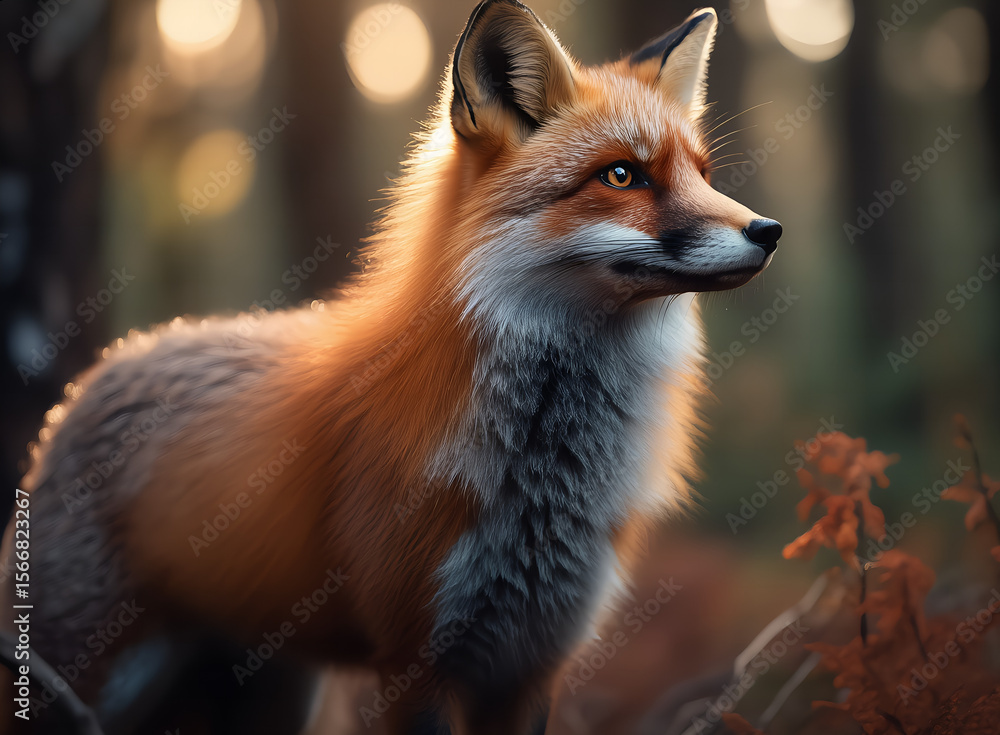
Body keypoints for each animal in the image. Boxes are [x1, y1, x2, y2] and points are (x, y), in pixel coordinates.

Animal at [1, 1, 781, 733]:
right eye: (623, 175)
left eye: (703, 174)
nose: (769, 231)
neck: (542, 483)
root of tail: (111, 362)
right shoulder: (415, 659)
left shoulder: (529, 659)